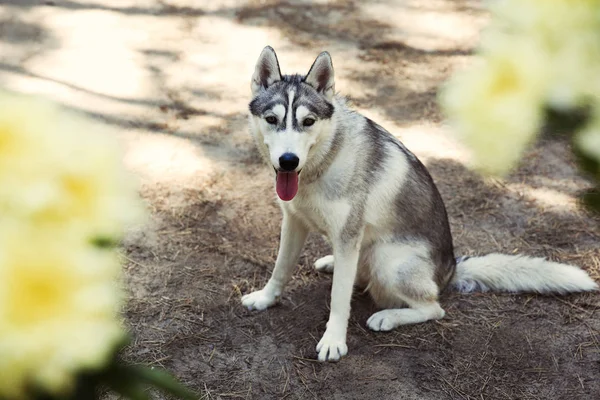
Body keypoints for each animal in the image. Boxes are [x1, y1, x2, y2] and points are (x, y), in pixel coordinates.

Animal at [241, 47, 596, 362]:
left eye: (308, 121)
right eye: (271, 119)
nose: (288, 161)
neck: (323, 162)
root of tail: (450, 270)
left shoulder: (347, 236)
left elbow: (339, 300)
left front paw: (334, 341)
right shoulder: (294, 222)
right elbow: (280, 269)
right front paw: (266, 299)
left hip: (388, 260)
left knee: (432, 307)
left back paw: (388, 316)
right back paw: (333, 263)